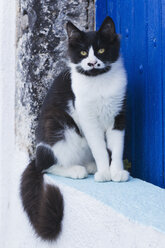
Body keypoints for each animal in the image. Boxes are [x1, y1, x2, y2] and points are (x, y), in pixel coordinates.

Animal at [20, 17, 129, 242]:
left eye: (101, 50)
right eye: (83, 53)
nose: (92, 63)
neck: (98, 80)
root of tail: (37, 154)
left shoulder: (118, 114)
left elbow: (116, 148)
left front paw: (116, 172)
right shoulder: (88, 119)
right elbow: (100, 149)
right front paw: (105, 173)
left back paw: (89, 166)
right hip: (59, 126)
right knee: (46, 166)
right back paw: (76, 170)